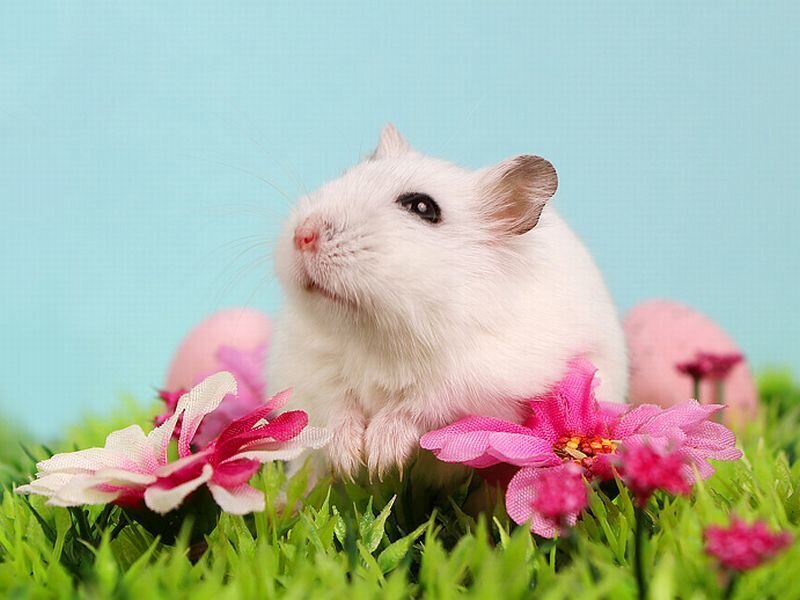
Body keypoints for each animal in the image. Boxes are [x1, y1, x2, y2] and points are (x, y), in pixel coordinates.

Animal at [268, 124, 628, 482]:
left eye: (422, 207)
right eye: (346, 175)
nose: (302, 235)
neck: (376, 333)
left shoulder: (474, 385)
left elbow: (416, 408)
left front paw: (380, 460)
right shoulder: (309, 367)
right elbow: (336, 404)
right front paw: (351, 462)